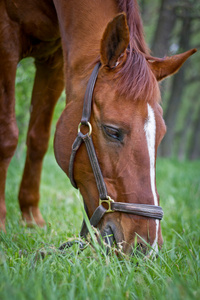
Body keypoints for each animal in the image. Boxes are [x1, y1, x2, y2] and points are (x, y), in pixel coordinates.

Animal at [0, 0, 196, 254]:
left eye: (161, 135)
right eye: (112, 131)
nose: (146, 246)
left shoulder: (54, 58)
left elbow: (38, 139)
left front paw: (32, 219)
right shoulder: (7, 38)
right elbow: (8, 137)